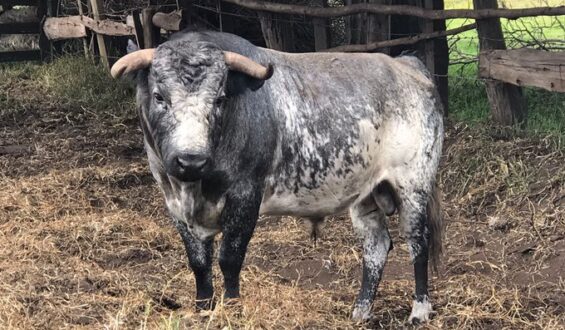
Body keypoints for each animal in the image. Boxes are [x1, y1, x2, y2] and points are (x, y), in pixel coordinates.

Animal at [110, 29, 442, 324]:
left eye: (219, 99)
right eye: (158, 96)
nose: (191, 160)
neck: (195, 187)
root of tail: (406, 64)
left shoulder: (245, 197)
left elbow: (229, 258)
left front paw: (232, 310)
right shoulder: (175, 203)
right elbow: (199, 263)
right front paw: (203, 309)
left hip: (413, 185)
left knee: (418, 242)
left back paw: (419, 309)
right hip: (366, 194)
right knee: (376, 246)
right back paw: (361, 310)